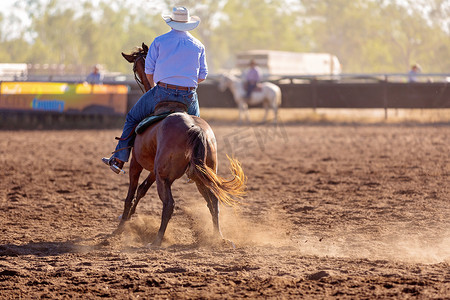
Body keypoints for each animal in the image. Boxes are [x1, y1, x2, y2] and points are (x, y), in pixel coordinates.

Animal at [113, 43, 246, 247]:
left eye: (135, 68)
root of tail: (194, 128)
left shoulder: (136, 164)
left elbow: (131, 194)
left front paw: (120, 227)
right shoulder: (154, 170)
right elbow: (142, 190)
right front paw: (128, 218)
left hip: (165, 178)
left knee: (169, 205)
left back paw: (157, 240)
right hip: (201, 174)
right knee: (213, 201)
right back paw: (218, 237)